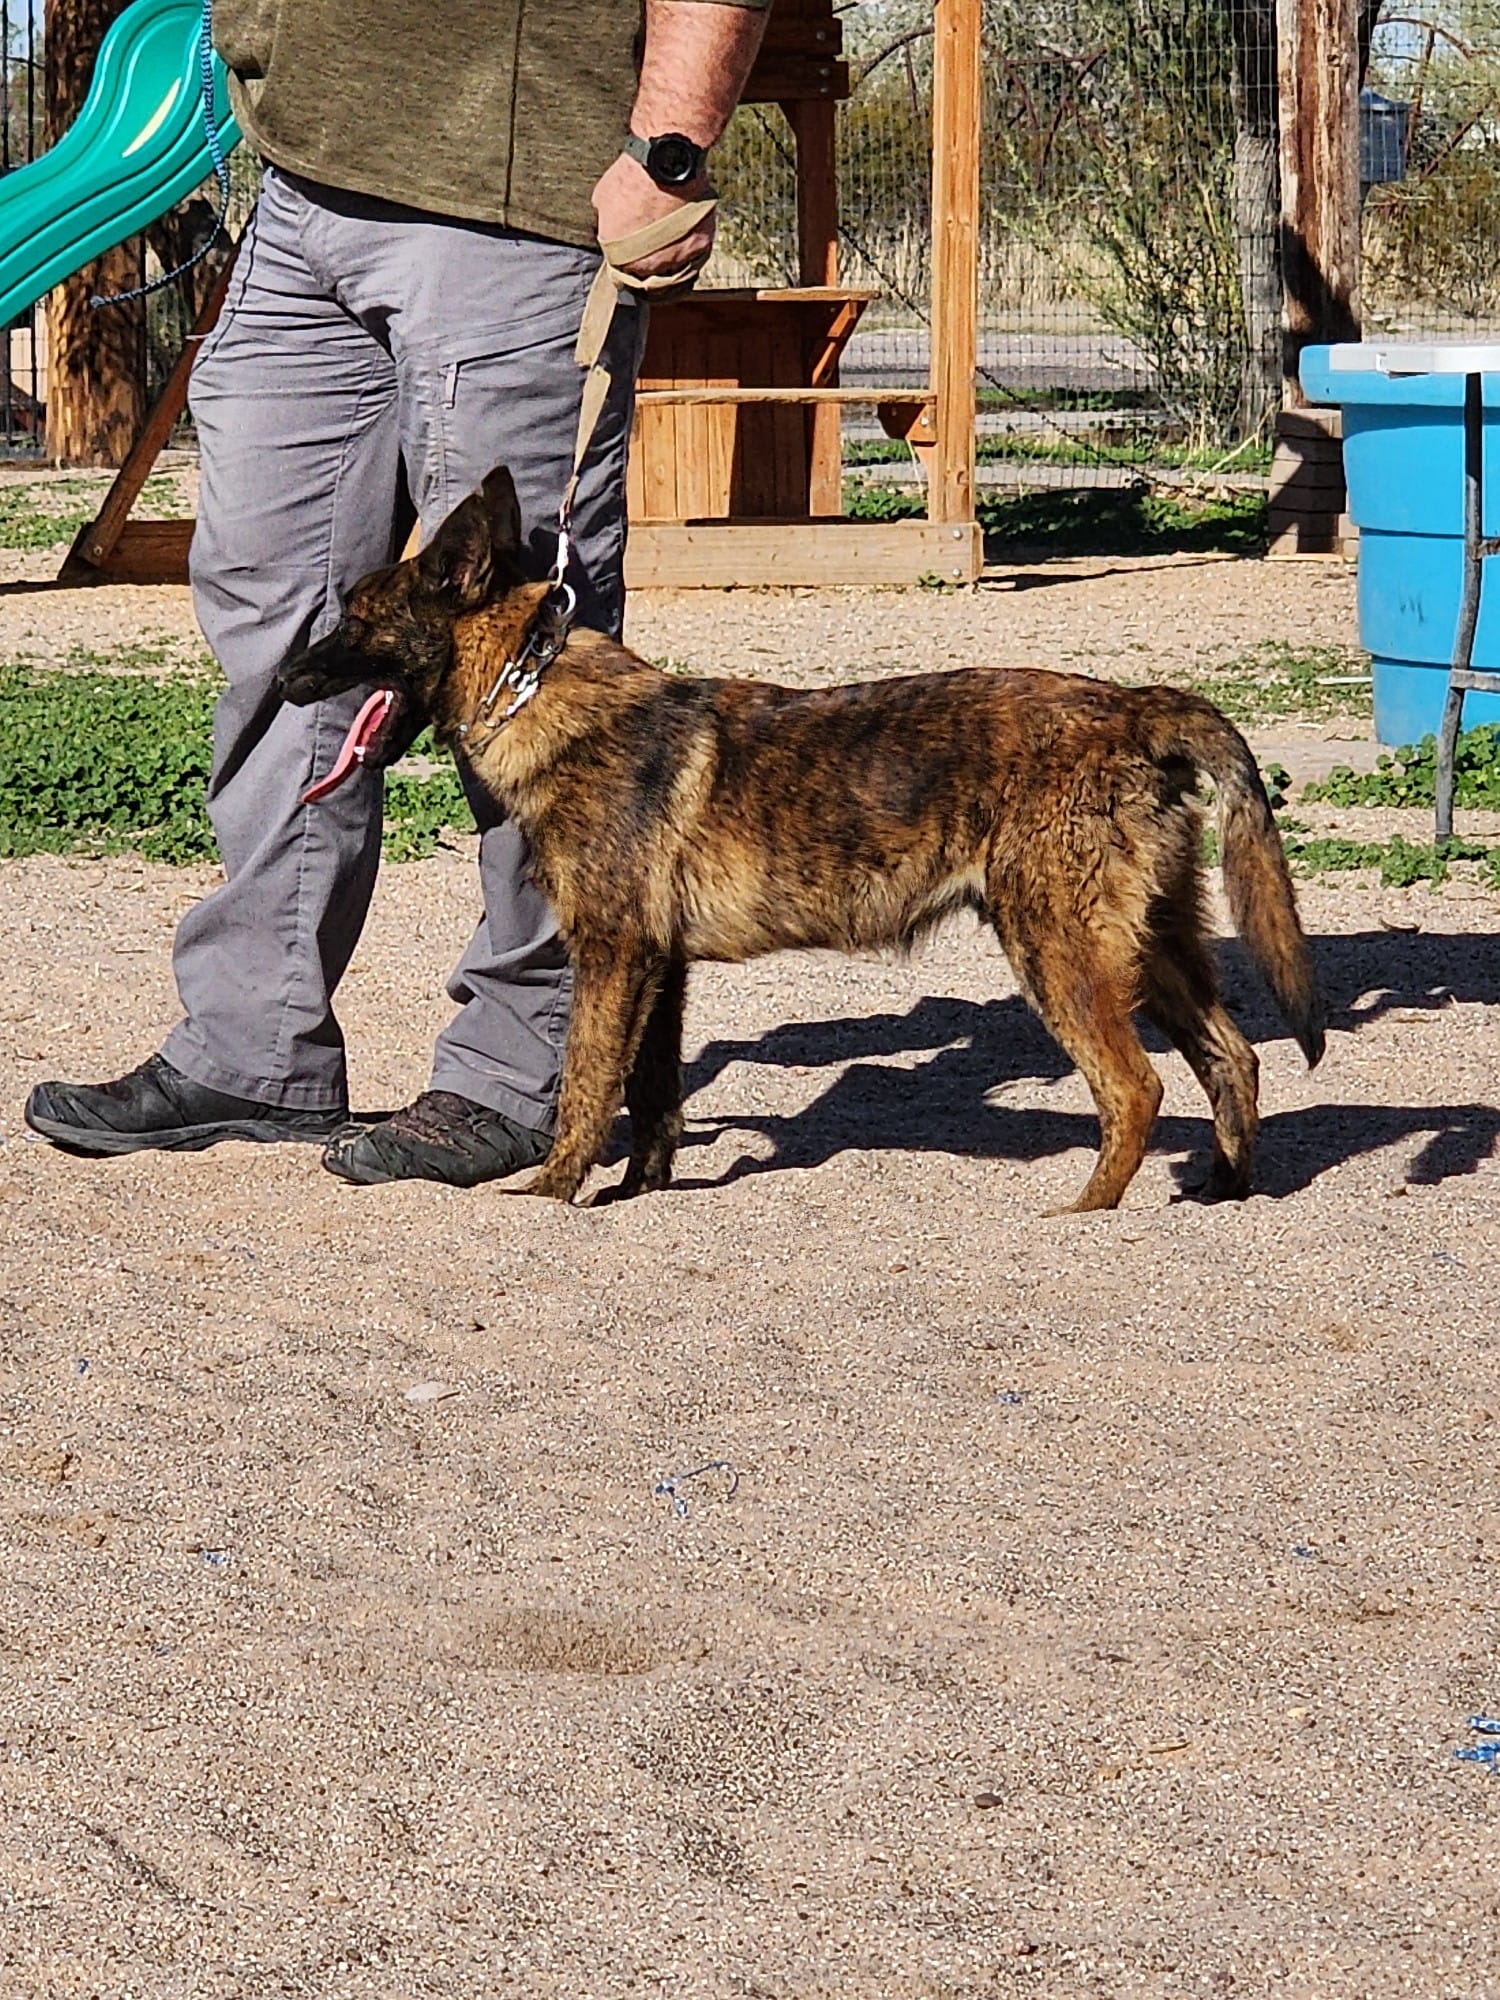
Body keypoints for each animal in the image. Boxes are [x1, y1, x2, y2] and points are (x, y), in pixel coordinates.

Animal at [282, 468, 1328, 1208]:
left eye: (353, 620)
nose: (285, 676)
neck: (536, 686)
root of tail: (1132, 707)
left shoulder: (613, 958)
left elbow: (585, 1085)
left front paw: (550, 1193)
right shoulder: (660, 970)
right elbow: (652, 1098)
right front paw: (638, 1193)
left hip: (1062, 956)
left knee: (1136, 1090)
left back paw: (1084, 1215)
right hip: (1152, 950)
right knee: (1234, 1057)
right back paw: (1225, 1189)